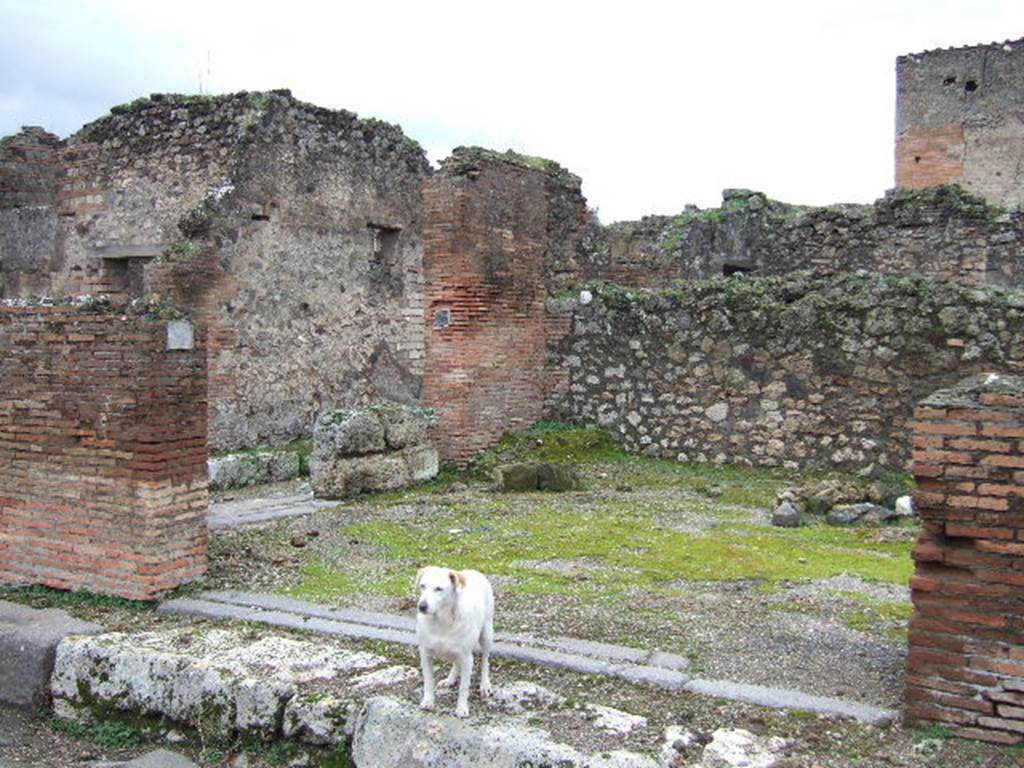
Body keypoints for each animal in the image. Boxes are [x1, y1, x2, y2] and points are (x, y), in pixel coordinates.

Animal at [415, 565, 495, 720]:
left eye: (439, 589)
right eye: (422, 586)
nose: (422, 606)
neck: (442, 622)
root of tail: (474, 571)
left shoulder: (467, 658)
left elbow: (464, 687)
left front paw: (462, 708)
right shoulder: (426, 654)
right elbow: (428, 681)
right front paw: (428, 701)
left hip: (487, 634)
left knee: (485, 661)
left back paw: (484, 684)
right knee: (456, 663)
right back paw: (450, 679)